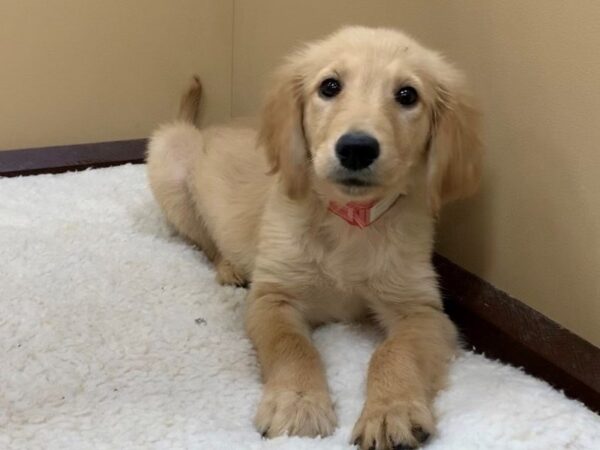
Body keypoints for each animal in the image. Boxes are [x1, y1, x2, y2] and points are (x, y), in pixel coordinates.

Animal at [148, 26, 480, 448]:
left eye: (407, 95)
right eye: (330, 86)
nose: (357, 148)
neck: (350, 221)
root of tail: (203, 127)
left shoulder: (421, 309)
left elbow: (395, 352)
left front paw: (392, 411)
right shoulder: (273, 296)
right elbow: (294, 347)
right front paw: (298, 404)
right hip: (168, 156)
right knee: (205, 241)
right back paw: (229, 267)